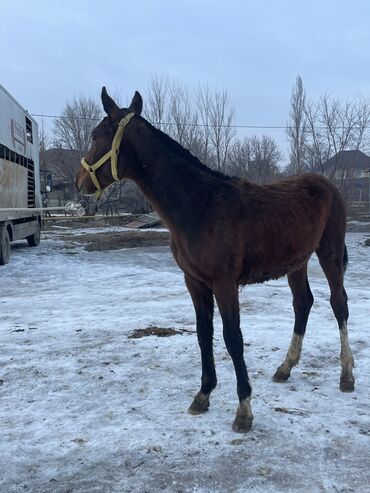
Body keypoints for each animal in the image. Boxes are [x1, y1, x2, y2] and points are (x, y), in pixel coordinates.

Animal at [73, 88, 354, 430]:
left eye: (95, 135)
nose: (79, 182)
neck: (199, 205)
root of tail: (328, 185)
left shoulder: (224, 283)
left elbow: (232, 337)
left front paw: (244, 410)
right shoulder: (195, 282)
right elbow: (203, 334)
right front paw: (203, 395)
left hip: (329, 252)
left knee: (338, 303)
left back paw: (346, 375)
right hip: (296, 262)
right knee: (303, 303)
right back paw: (285, 368)